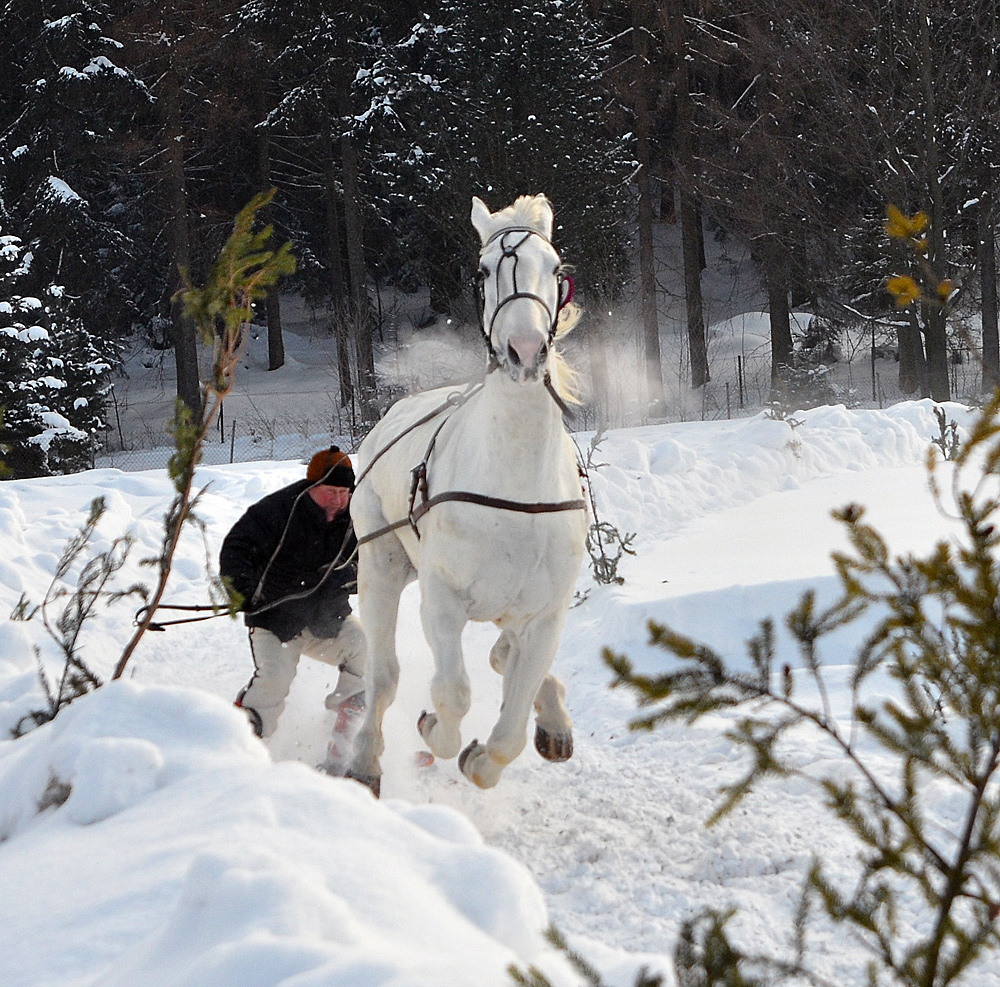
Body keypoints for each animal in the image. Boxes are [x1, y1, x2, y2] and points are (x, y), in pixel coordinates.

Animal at [348, 193, 588, 796]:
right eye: (483, 270)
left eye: (556, 268)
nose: (525, 349)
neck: (517, 492)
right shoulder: (442, 600)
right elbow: (451, 694)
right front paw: (435, 729)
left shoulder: (545, 615)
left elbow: (511, 724)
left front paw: (486, 756)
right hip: (380, 567)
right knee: (383, 678)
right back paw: (364, 759)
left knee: (506, 655)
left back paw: (551, 718)